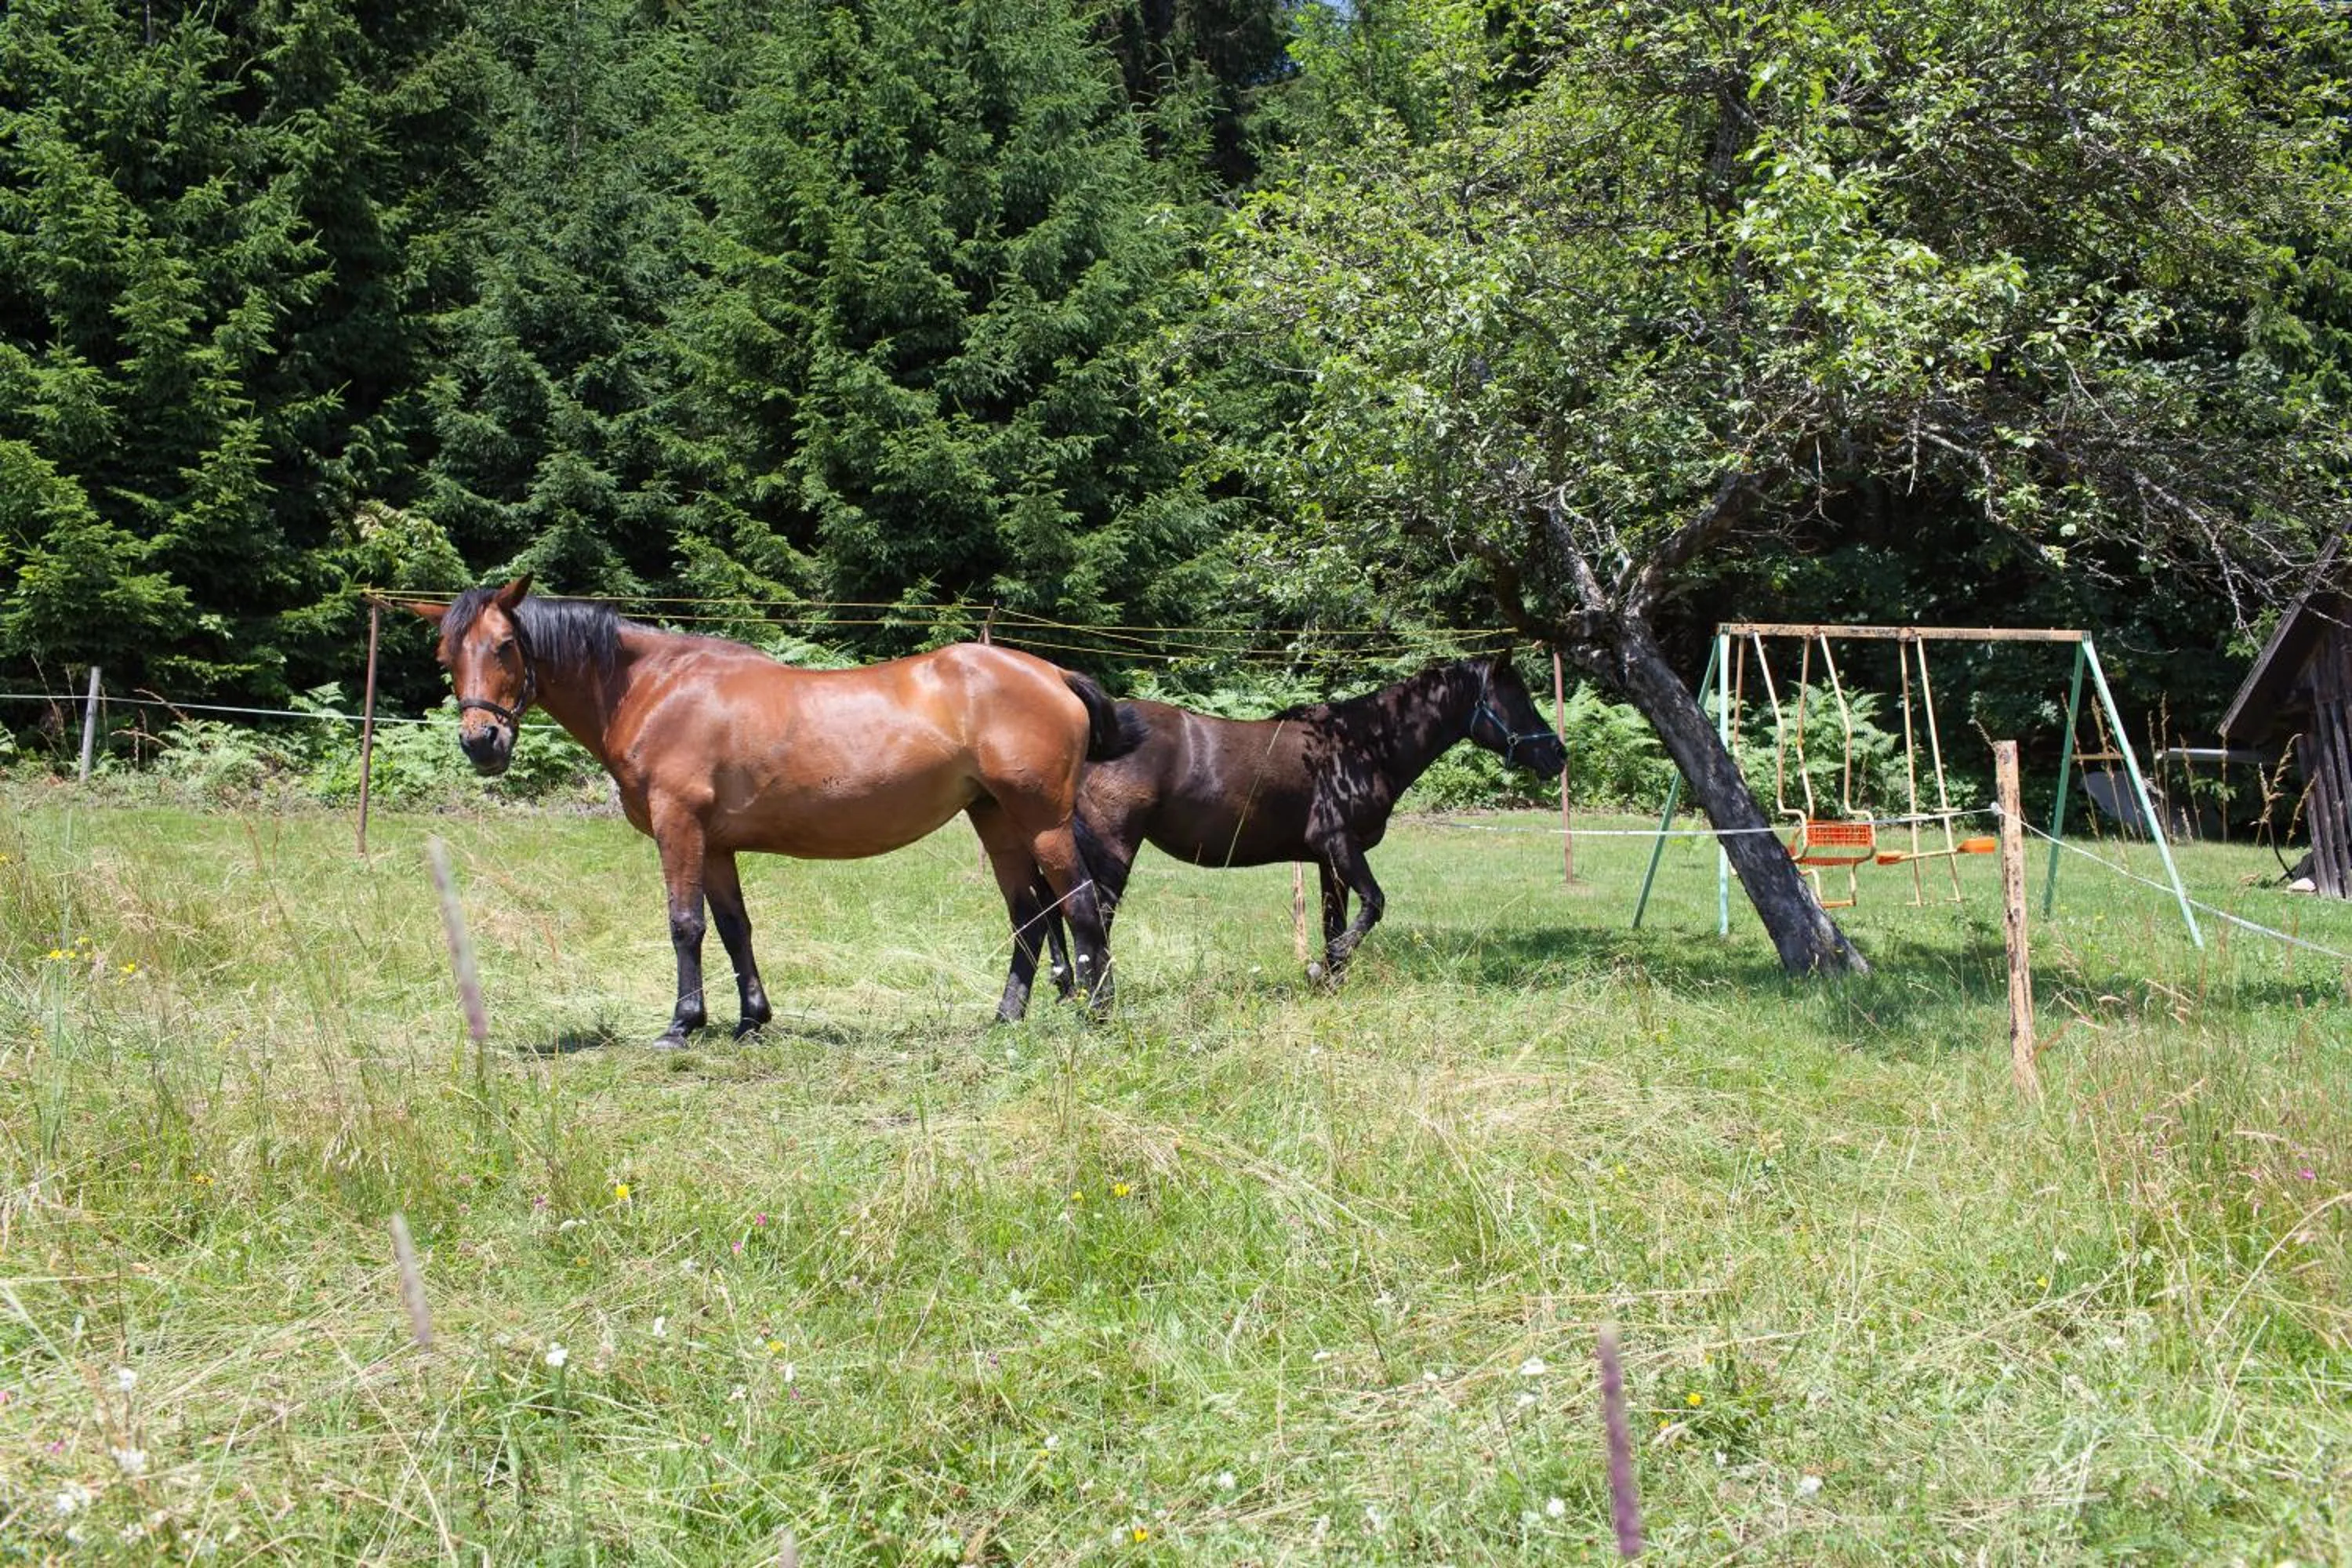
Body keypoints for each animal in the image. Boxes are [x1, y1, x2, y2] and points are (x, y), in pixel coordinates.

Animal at [403, 577, 1144, 1045]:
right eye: (446, 653)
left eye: (504, 646)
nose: (481, 742)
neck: (655, 689)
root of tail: (1051, 673)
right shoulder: (717, 845)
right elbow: (735, 929)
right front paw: (751, 1021)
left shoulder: (679, 827)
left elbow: (685, 925)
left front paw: (682, 1025)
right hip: (994, 818)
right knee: (1029, 915)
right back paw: (1006, 1017)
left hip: (1040, 820)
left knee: (1080, 904)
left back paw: (1097, 1017)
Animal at [1035, 651, 1566, 991]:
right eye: (1517, 697)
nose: (1558, 754)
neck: (1362, 745)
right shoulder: (1339, 844)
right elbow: (1373, 906)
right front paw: (1323, 968)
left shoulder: (1328, 862)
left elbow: (1337, 922)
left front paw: (1330, 981)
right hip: (1113, 847)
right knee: (1089, 915)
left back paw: (1066, 985)